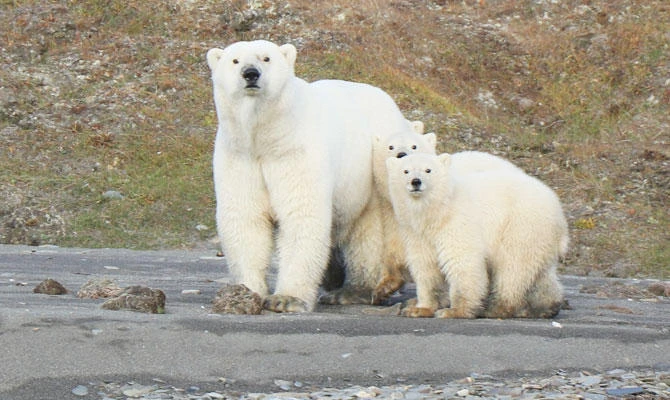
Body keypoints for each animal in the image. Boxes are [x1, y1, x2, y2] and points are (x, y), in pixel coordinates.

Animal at [207, 40, 412, 312]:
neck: (266, 138)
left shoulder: (296, 152)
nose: (250, 74)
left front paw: (286, 299)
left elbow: (301, 215)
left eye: (266, 58)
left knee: (371, 233)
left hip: (373, 170)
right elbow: (245, 218)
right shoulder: (240, 156)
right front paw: (247, 291)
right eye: (235, 60)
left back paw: (354, 290)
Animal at [385, 152, 567, 318]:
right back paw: (546, 307)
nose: (416, 181)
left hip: (521, 227)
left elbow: (462, 262)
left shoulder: (457, 224)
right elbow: (425, 267)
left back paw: (497, 309)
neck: (438, 211)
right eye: (406, 171)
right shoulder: (417, 234)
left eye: (428, 170)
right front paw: (419, 309)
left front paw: (454, 311)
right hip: (538, 237)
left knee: (513, 267)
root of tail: (559, 212)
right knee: (539, 273)